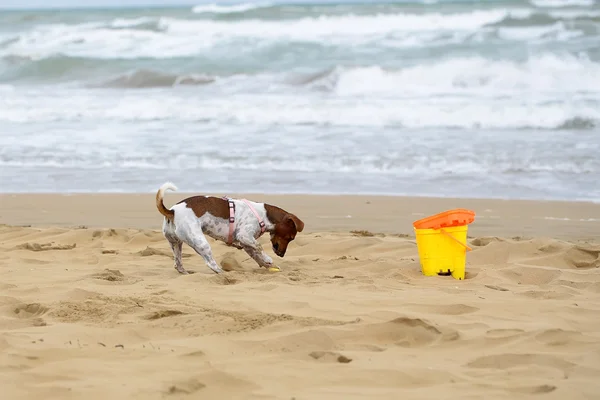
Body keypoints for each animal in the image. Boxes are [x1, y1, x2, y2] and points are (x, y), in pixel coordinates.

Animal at [156, 182, 304, 274]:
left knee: (178, 264)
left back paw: (185, 272)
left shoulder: (247, 244)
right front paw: (268, 260)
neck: (263, 215)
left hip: (176, 243)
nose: (282, 254)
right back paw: (224, 273)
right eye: (290, 237)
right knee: (210, 263)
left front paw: (268, 265)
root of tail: (172, 211)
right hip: (200, 242)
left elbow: (257, 255)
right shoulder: (244, 236)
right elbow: (260, 248)